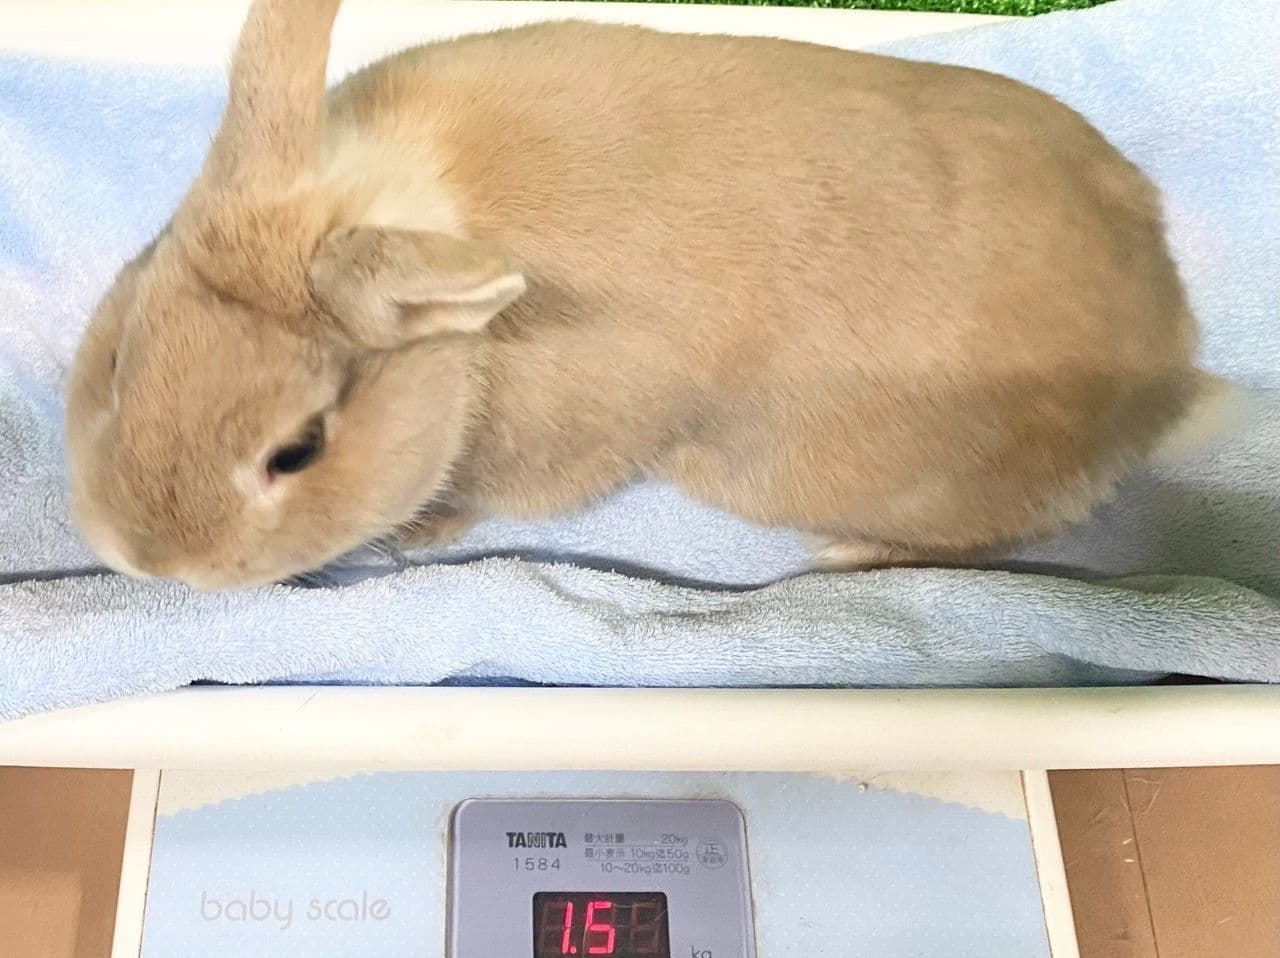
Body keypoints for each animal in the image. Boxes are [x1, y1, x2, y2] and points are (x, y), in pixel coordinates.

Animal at [65, 0, 1236, 590]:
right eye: (120, 361)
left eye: (297, 449)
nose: (147, 560)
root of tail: (1171, 363)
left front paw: (422, 536)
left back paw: (847, 557)